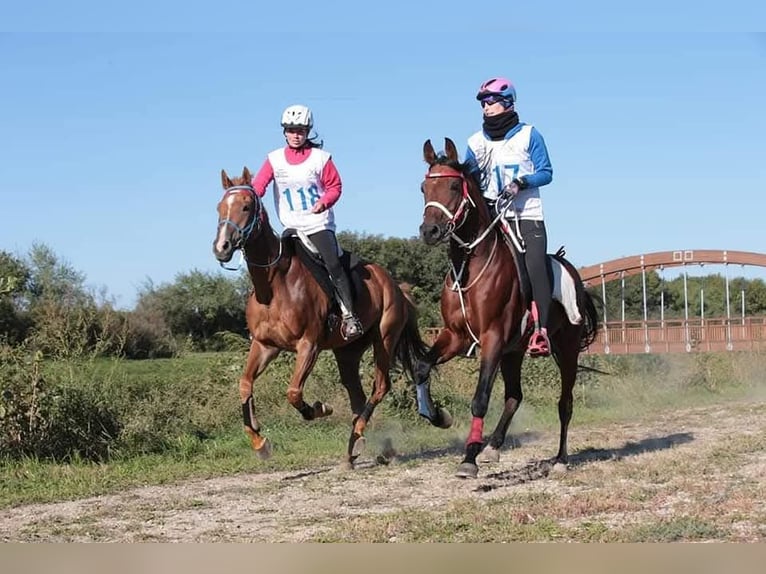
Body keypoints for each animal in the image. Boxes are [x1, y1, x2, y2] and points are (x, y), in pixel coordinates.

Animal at [212, 167, 452, 466]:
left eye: (245, 206)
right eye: (220, 207)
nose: (221, 247)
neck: (274, 286)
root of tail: (395, 286)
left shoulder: (309, 346)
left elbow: (294, 393)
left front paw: (320, 408)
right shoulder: (265, 345)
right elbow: (245, 384)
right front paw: (259, 442)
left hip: (384, 339)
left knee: (380, 386)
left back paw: (362, 440)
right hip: (347, 351)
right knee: (357, 394)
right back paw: (357, 447)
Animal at [413, 138, 601, 478]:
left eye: (453, 186)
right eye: (424, 187)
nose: (429, 231)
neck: (469, 267)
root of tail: (574, 274)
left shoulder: (492, 338)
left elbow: (480, 399)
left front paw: (468, 458)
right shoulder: (455, 336)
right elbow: (422, 367)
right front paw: (438, 417)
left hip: (565, 349)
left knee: (564, 403)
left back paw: (560, 460)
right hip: (514, 351)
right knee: (515, 396)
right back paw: (493, 447)